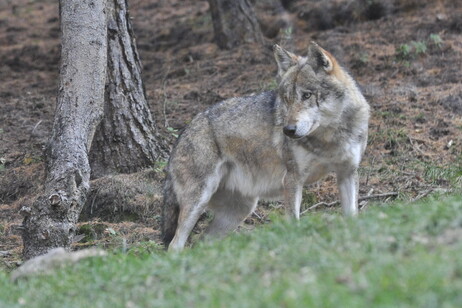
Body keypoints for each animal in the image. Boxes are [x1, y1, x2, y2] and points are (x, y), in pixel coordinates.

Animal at [161, 42, 370, 251]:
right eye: (286, 99)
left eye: (307, 95)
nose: (288, 130)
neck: (329, 138)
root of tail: (181, 134)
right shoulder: (292, 179)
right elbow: (294, 222)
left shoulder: (347, 172)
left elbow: (352, 216)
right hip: (199, 202)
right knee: (175, 245)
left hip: (240, 210)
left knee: (202, 244)